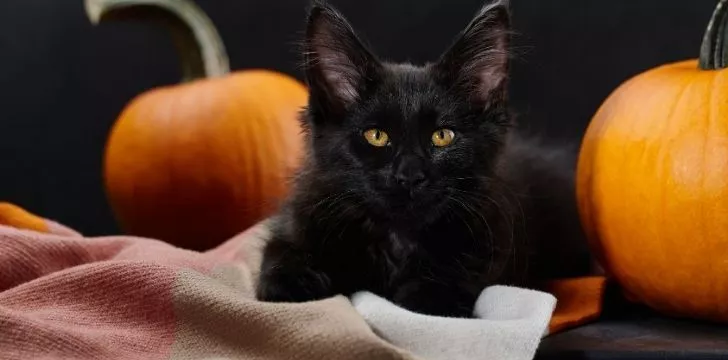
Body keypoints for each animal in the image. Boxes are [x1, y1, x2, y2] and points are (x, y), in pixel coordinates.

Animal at [256, 0, 592, 316]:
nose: (409, 175)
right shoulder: (297, 223)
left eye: (442, 136)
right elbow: (279, 258)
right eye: (376, 135)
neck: (397, 239)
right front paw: (294, 285)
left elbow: (430, 299)